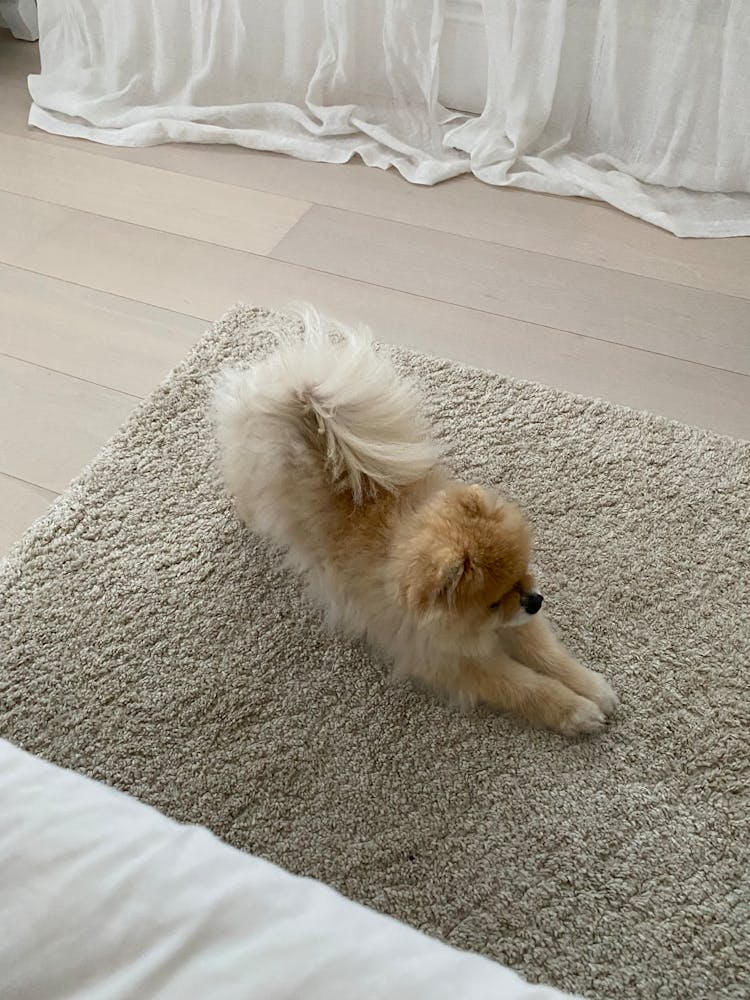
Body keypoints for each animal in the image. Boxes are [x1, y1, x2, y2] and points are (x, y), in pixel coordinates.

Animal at [214, 308, 620, 740]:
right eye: (492, 602)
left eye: (523, 574)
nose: (535, 600)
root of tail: (305, 412)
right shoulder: (459, 662)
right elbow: (525, 686)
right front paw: (576, 711)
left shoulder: (515, 625)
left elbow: (548, 653)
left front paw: (594, 687)